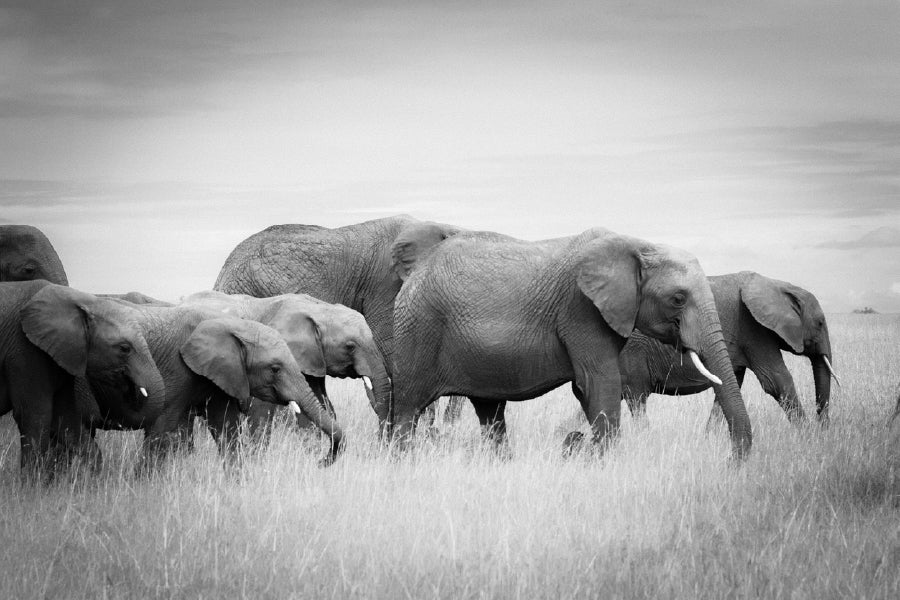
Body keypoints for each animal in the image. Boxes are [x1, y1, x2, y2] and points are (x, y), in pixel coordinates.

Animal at [1, 280, 163, 476]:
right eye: (124, 348)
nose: (131, 389)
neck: (84, 300)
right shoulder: (25, 351)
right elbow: (33, 416)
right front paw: (33, 483)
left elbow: (65, 419)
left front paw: (91, 480)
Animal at [79, 303, 344, 469]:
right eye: (275, 369)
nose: (320, 463)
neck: (231, 324)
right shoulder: (177, 369)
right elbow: (162, 429)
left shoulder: (222, 374)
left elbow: (228, 430)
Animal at [388, 228, 753, 460]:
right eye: (678, 299)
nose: (732, 461)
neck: (639, 244)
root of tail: (416, 275)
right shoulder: (581, 310)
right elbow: (599, 382)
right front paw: (599, 460)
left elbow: (586, 389)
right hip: (417, 330)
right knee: (408, 408)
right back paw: (402, 463)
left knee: (491, 413)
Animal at [620, 271, 839, 424]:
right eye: (820, 323)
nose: (823, 428)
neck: (778, 285)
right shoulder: (754, 330)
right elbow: (777, 381)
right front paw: (808, 437)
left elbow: (729, 387)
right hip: (634, 354)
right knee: (637, 399)